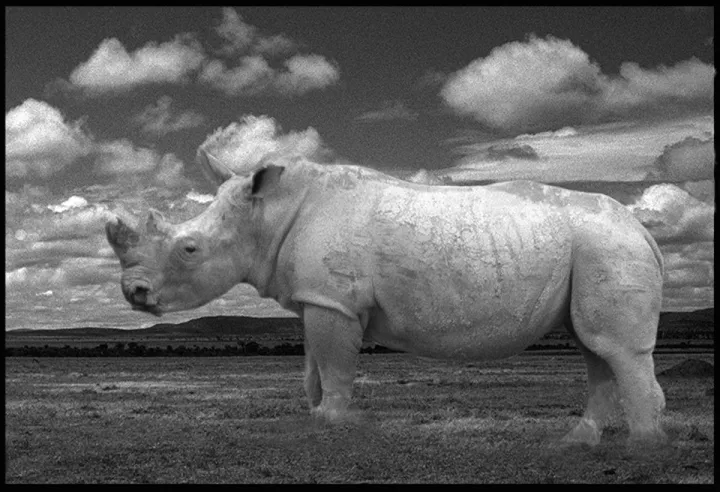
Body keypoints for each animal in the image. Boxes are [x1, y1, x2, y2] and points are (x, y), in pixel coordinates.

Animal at [106, 149, 667, 446]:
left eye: (189, 249)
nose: (133, 293)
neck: (266, 215)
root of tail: (643, 229)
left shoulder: (333, 301)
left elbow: (333, 367)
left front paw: (332, 424)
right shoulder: (318, 297)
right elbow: (311, 369)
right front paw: (315, 421)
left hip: (607, 246)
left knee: (615, 348)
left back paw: (643, 451)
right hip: (596, 246)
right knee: (594, 345)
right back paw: (579, 443)